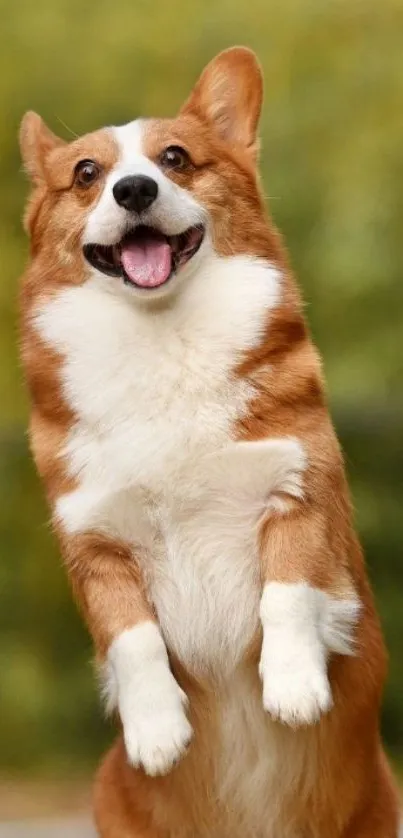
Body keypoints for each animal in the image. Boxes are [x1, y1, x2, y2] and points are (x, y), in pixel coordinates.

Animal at [18, 47, 400, 838]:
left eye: (175, 159)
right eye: (86, 173)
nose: (135, 188)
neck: (161, 337)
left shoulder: (300, 488)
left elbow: (288, 589)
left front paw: (293, 687)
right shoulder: (94, 545)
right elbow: (131, 638)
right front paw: (157, 733)